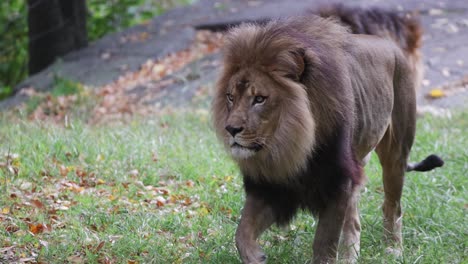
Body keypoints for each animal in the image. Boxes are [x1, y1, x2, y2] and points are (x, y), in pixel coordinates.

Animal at [211, 4, 442, 264]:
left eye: (260, 99)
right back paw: (351, 257)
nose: (231, 129)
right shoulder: (271, 186)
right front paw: (257, 257)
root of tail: (392, 46)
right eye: (230, 97)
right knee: (355, 222)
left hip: (396, 154)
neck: (289, 144)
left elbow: (324, 243)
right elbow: (242, 233)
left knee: (392, 205)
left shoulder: (338, 181)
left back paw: (393, 249)